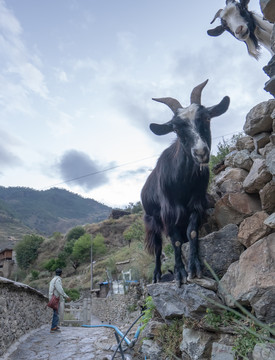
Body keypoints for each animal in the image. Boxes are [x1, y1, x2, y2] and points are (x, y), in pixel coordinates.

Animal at [141, 81, 230, 286]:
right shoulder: (169, 212)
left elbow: (192, 233)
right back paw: (157, 275)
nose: (200, 153)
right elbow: (175, 242)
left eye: (207, 118)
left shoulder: (196, 205)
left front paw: (194, 267)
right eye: (176, 128)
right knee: (158, 248)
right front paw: (180, 273)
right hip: (151, 219)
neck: (183, 183)